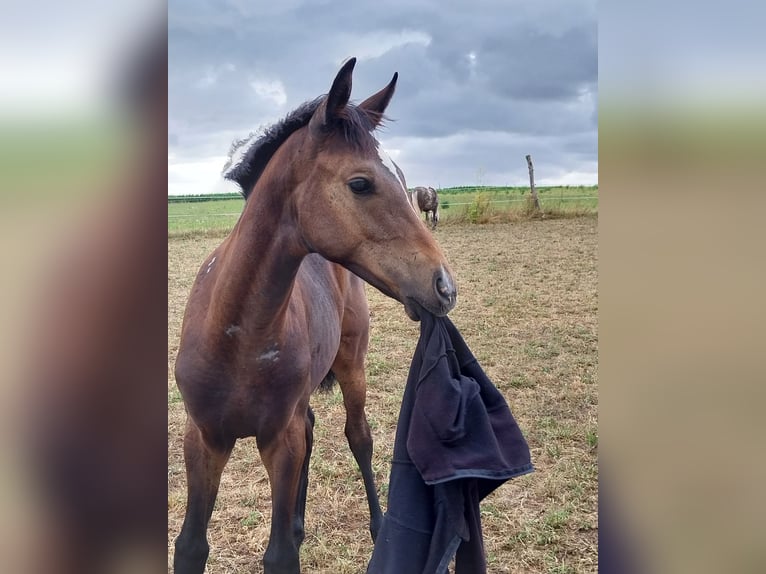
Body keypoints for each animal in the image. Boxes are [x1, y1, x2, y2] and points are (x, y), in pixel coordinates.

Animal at [172, 58, 457, 574]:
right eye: (360, 183)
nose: (445, 286)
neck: (235, 333)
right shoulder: (201, 439)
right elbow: (190, 546)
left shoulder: (278, 441)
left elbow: (280, 554)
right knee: (312, 426)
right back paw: (302, 522)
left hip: (351, 365)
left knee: (358, 436)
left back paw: (379, 527)